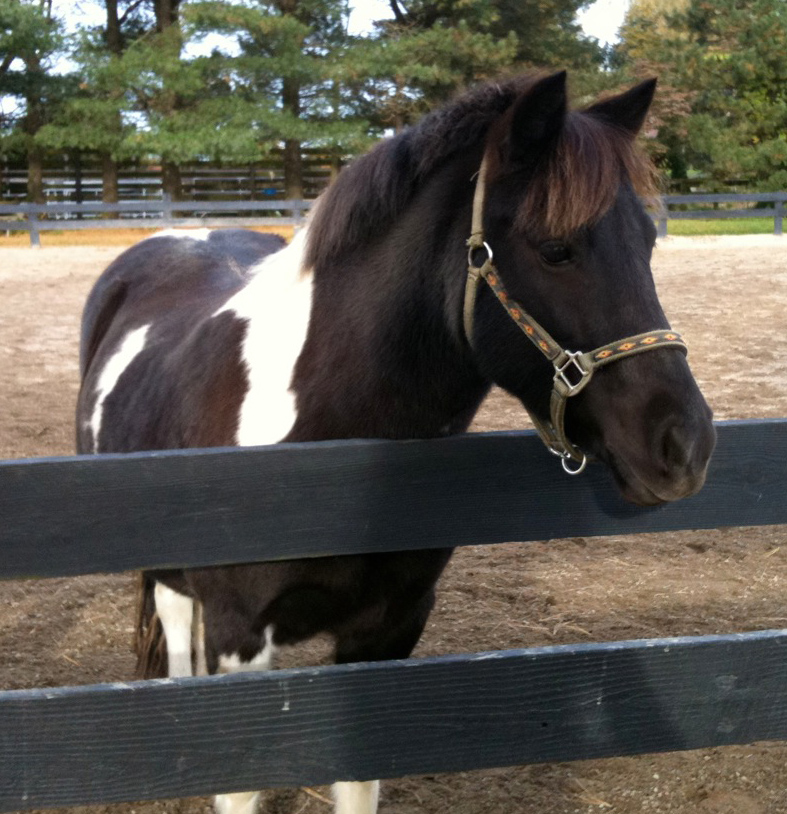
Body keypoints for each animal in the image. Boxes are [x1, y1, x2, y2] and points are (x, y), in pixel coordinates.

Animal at [75, 71, 716, 814]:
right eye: (557, 250)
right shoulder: (241, 635)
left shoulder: (385, 632)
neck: (323, 450)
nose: (685, 445)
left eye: (647, 243)